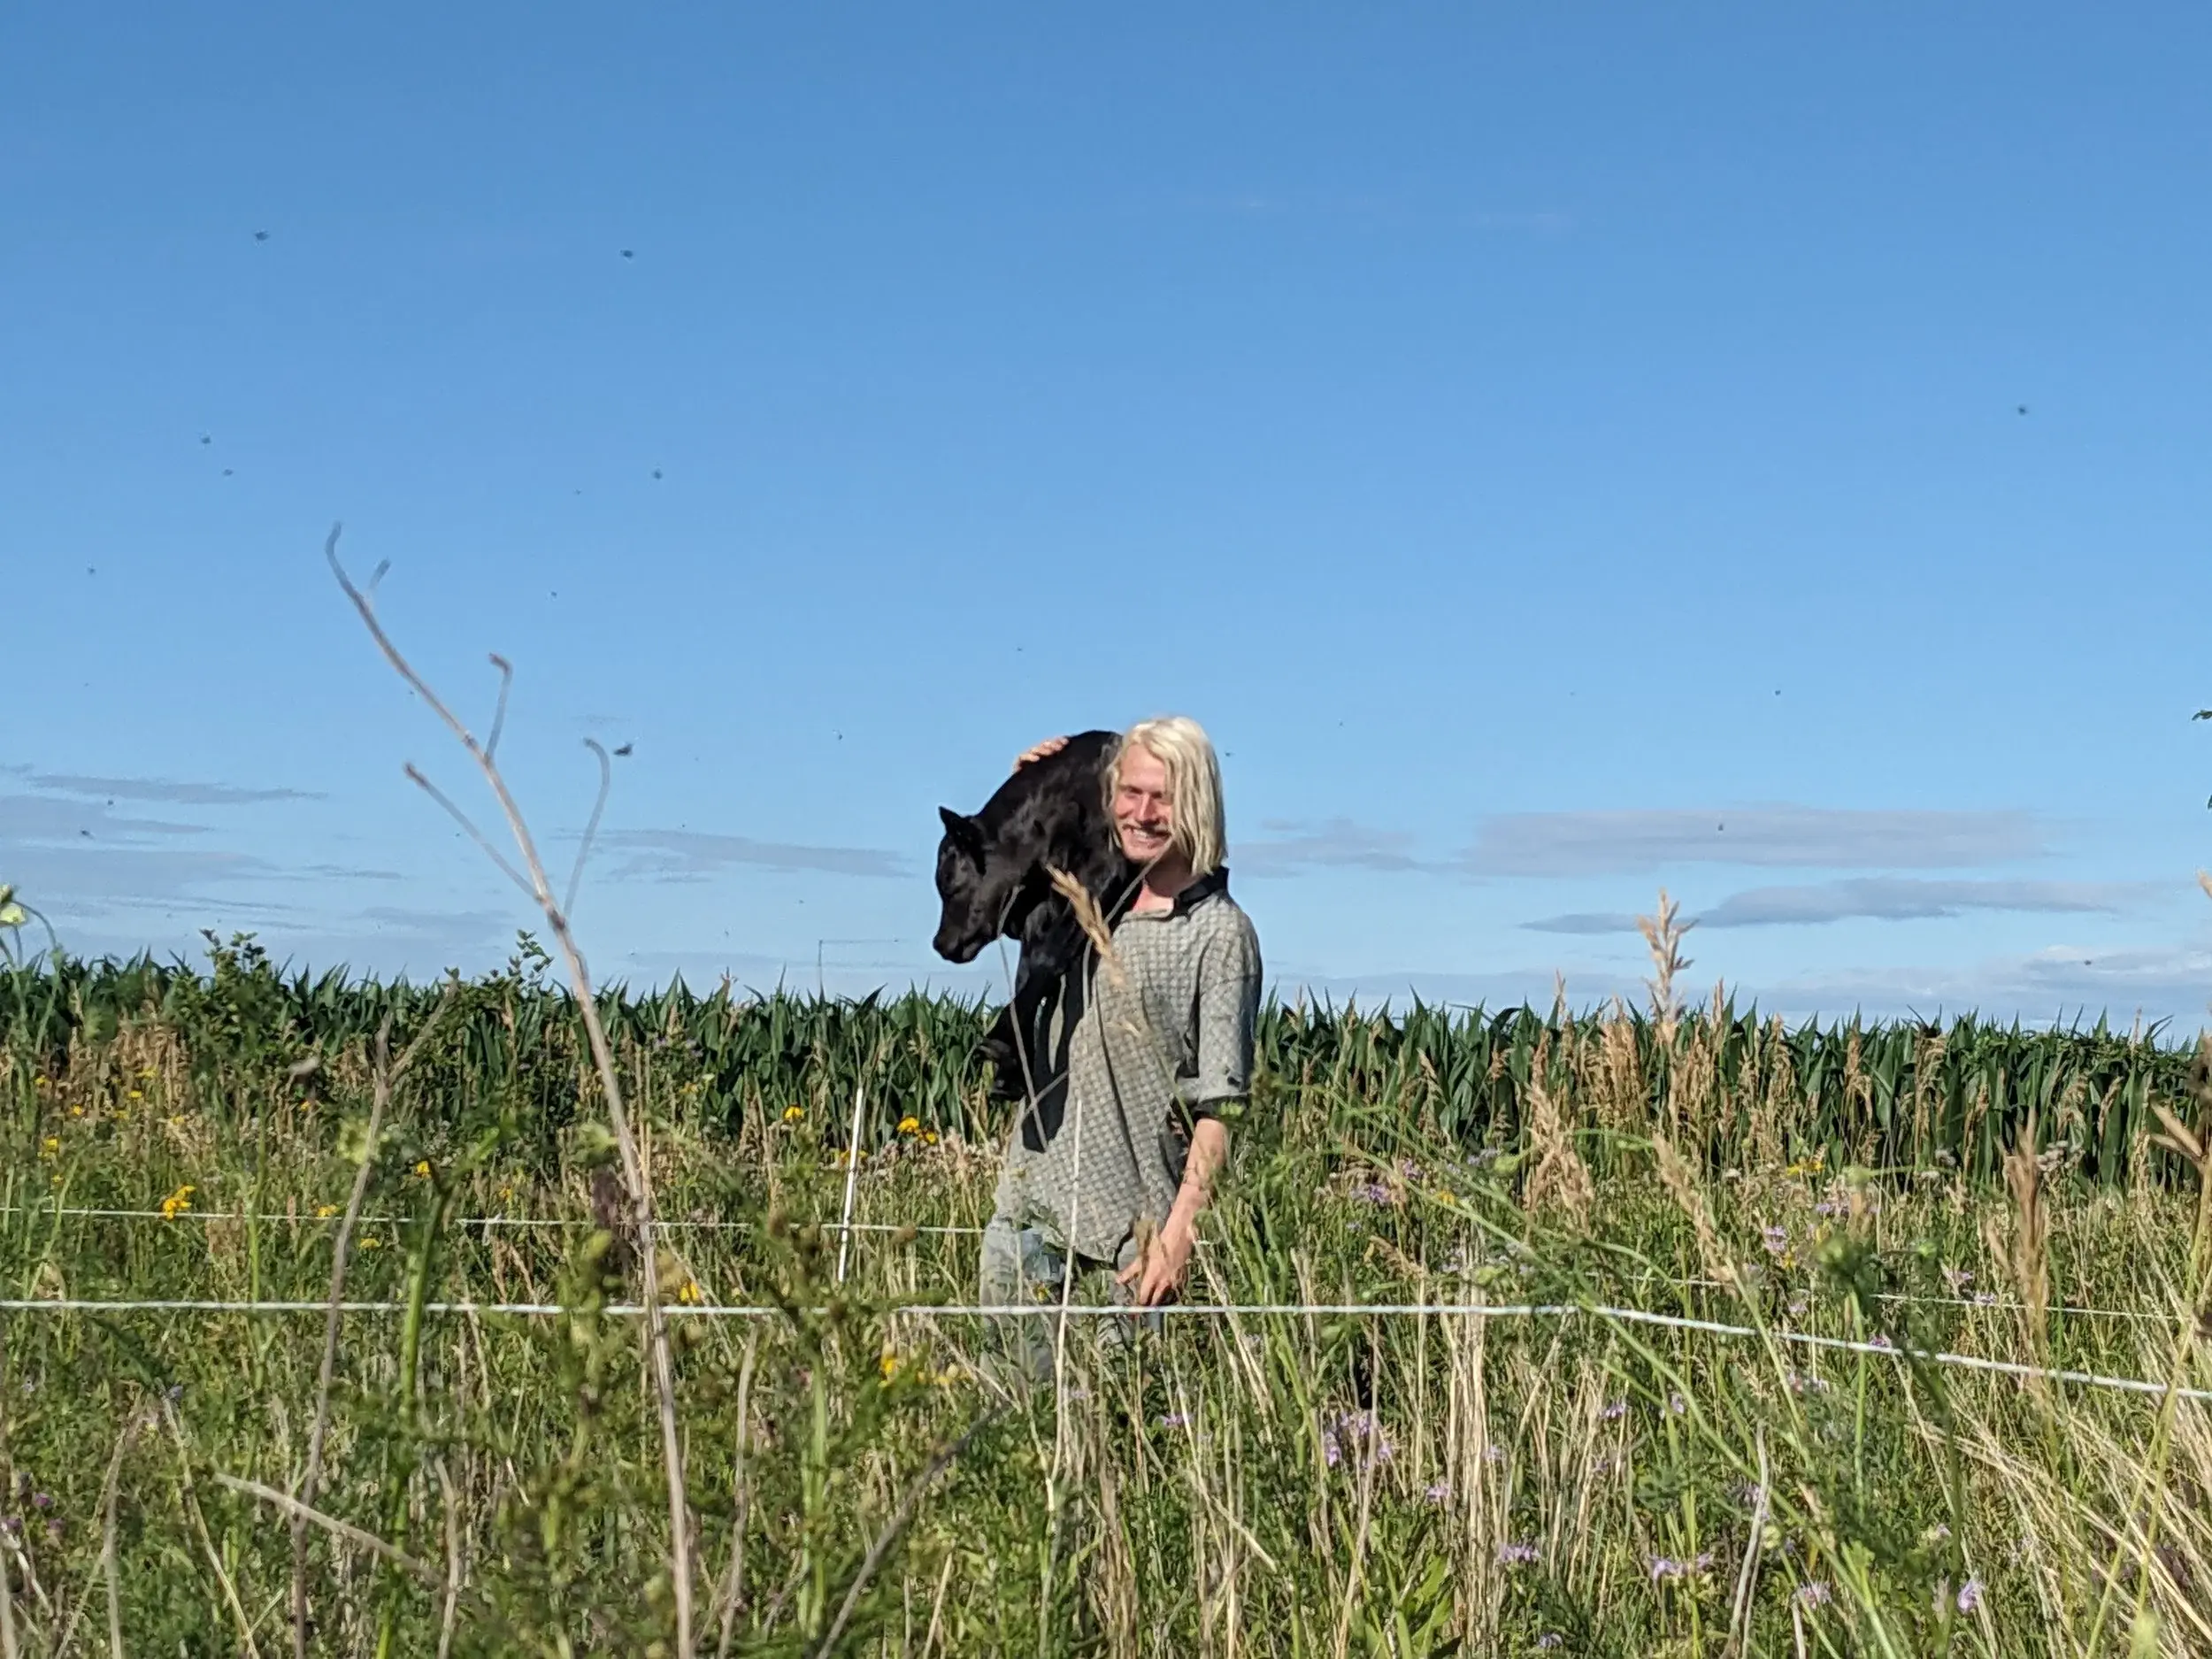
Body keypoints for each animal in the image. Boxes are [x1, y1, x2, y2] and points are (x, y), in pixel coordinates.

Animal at [932, 730, 1137, 1146]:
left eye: (948, 881)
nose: (940, 943)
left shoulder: (1100, 875)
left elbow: (1048, 960)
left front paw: (1001, 1042)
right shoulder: (1036, 911)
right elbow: (1028, 974)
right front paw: (1013, 1065)